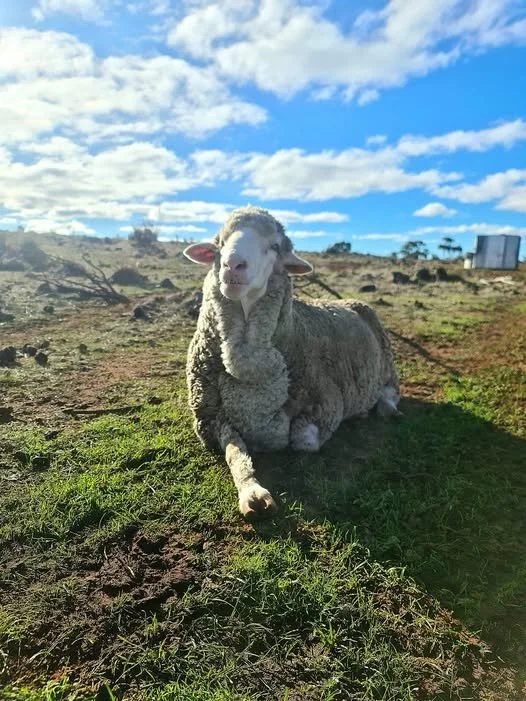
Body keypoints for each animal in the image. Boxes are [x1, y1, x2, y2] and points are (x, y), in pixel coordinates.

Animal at [184, 206, 400, 519]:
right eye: (220, 243)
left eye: (275, 246)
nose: (232, 265)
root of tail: (349, 300)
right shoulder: (209, 420)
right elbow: (235, 452)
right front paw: (252, 492)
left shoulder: (326, 402)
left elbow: (303, 440)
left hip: (387, 362)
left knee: (390, 390)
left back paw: (383, 408)